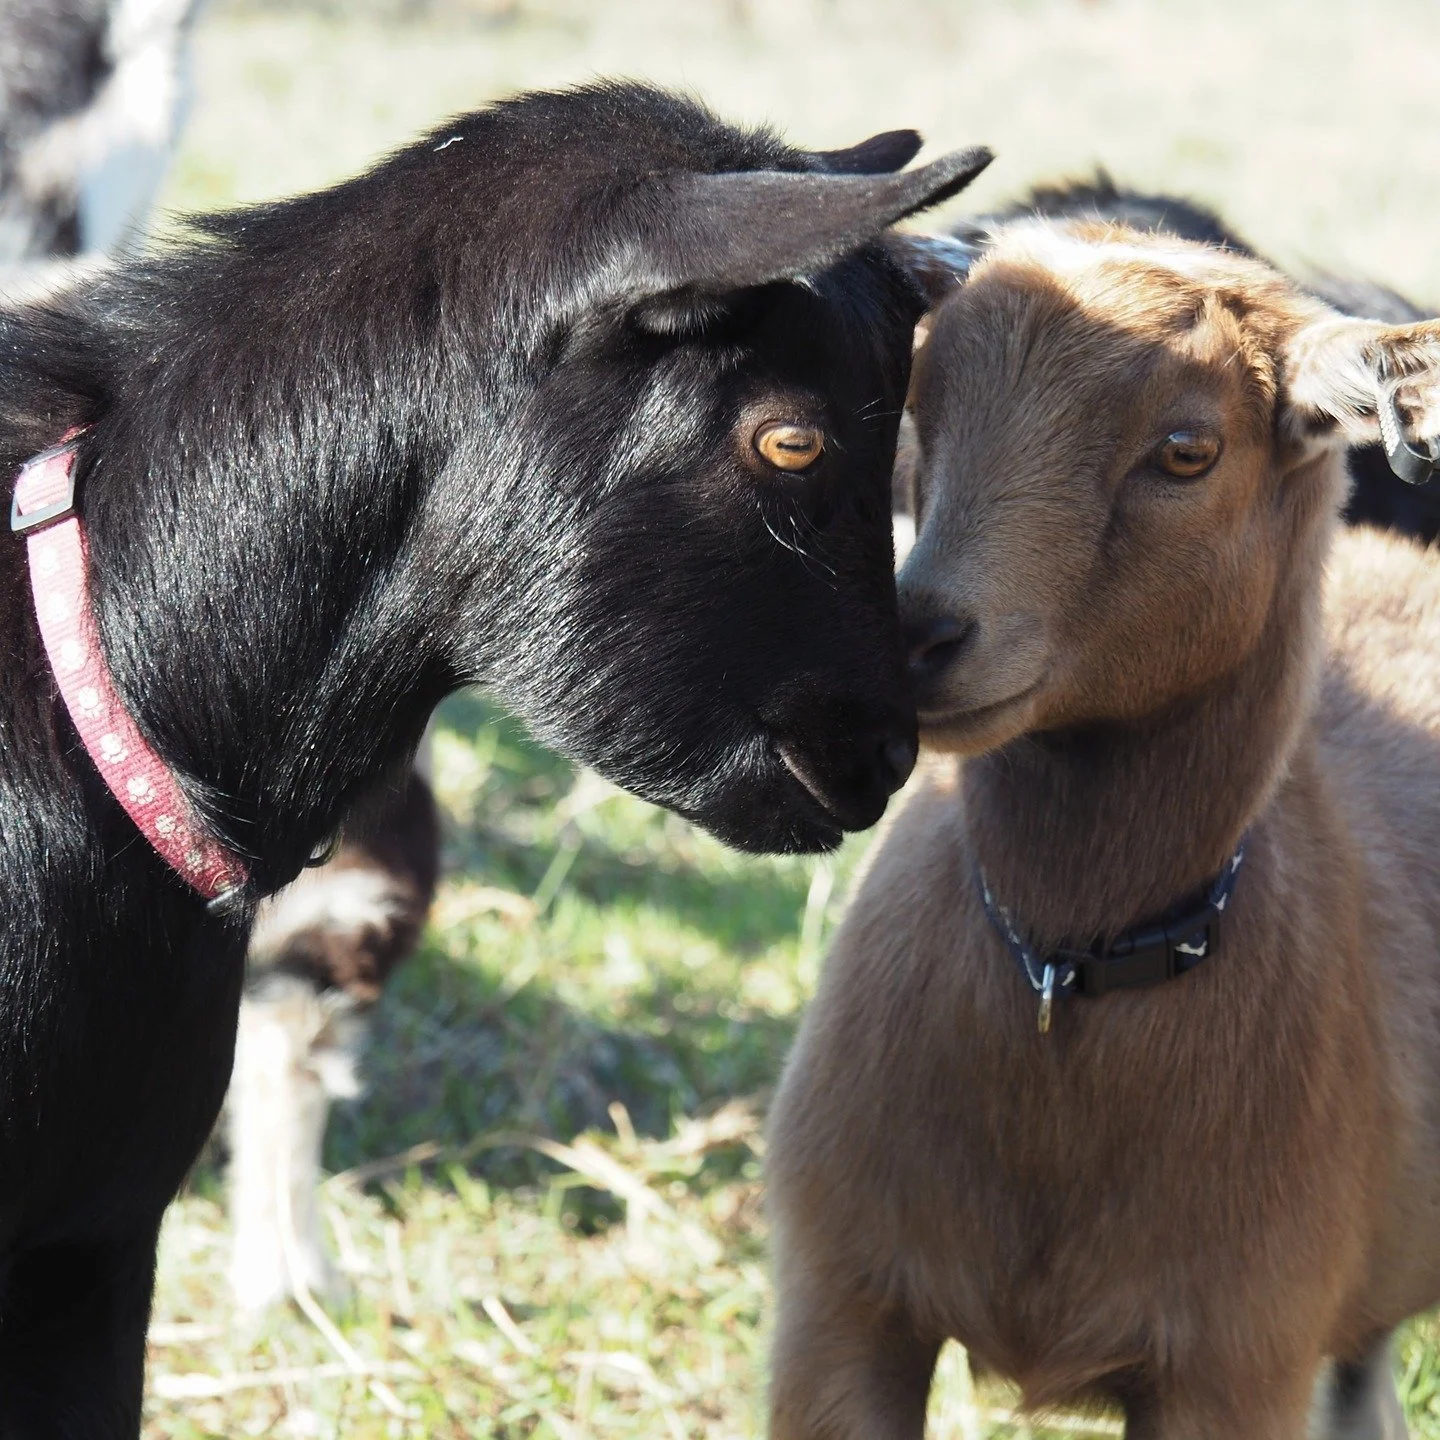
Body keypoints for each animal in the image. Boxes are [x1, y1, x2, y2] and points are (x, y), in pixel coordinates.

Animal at [767, 218, 1440, 1439]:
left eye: (1188, 451)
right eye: (921, 401)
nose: (915, 637)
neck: (1060, 980)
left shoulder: (1236, 1366)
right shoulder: (840, 1305)